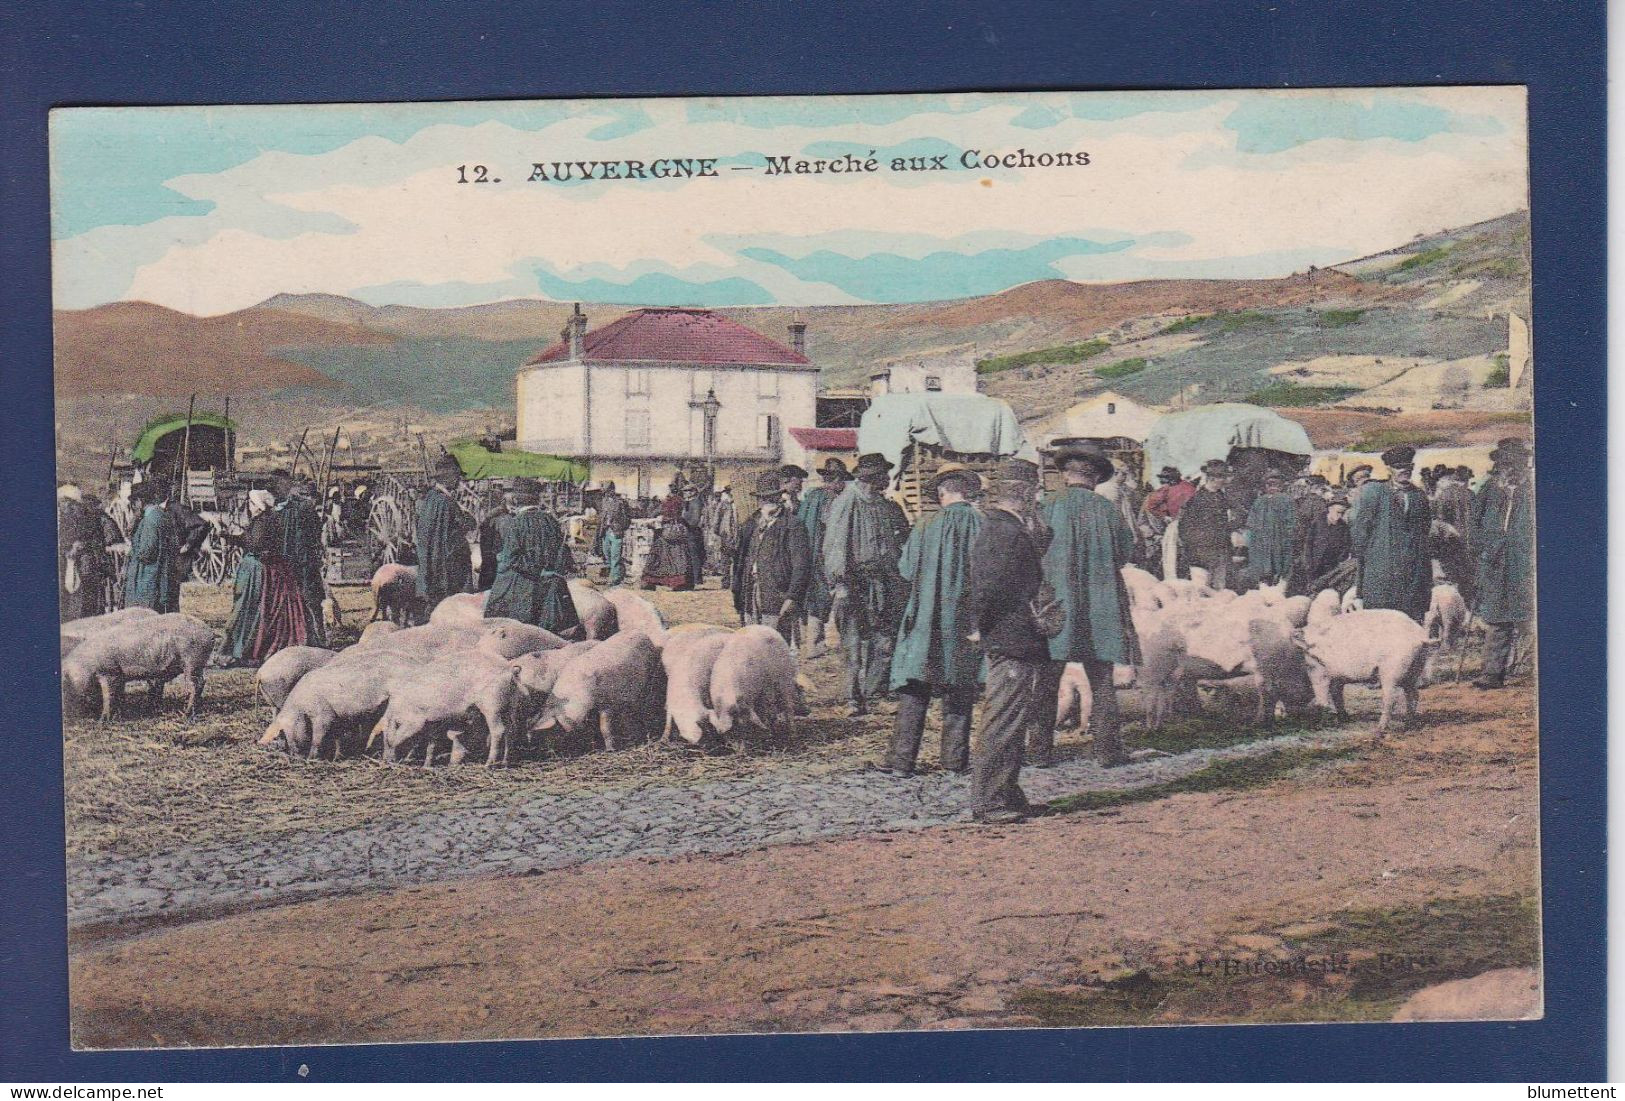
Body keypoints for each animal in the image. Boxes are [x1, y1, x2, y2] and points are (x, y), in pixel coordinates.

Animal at [62, 613, 217, 724]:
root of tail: (210, 632)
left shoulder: (109, 672)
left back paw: (186, 713)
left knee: (197, 684)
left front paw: (102, 720)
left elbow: (108, 695)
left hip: (192, 660)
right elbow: (117, 694)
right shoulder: (118, 676)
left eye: (66, 685)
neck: (84, 664)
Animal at [1287, 613, 1430, 734]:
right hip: (1414, 670)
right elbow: (1337, 694)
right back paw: (1408, 725)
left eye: (1308, 667)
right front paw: (1344, 719)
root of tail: (1420, 636)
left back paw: (1379, 729)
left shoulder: (1319, 670)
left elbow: (1323, 696)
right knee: (1413, 695)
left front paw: (1322, 719)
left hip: (1392, 670)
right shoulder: (1337, 676)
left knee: (1391, 699)